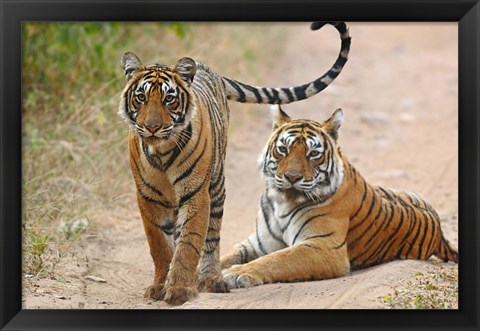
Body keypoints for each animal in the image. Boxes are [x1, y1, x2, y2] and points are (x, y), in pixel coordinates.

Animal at [119, 21, 352, 306]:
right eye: (141, 98)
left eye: (169, 99)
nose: (151, 127)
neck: (161, 150)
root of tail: (211, 70)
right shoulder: (148, 197)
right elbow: (160, 246)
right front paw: (159, 286)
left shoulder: (195, 194)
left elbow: (188, 243)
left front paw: (180, 289)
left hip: (217, 185)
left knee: (211, 237)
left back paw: (211, 279)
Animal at [221, 105, 458, 288]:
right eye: (283, 149)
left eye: (313, 154)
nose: (292, 177)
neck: (282, 202)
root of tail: (439, 232)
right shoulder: (257, 244)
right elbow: (225, 256)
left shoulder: (324, 247)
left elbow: (277, 259)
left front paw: (235, 273)